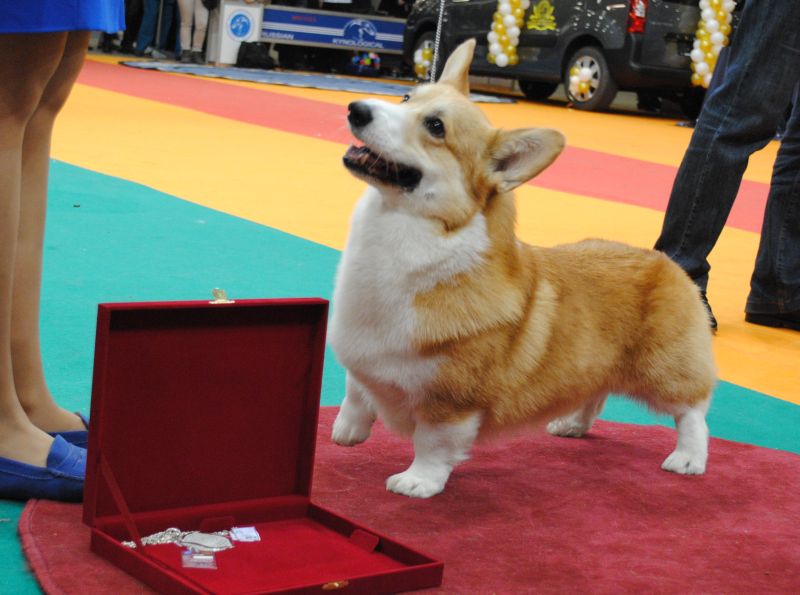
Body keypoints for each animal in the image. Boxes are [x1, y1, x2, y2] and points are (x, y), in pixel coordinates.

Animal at [329, 39, 716, 498]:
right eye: (406, 98)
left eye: (436, 127)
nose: (356, 109)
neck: (405, 232)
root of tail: (665, 260)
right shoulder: (364, 352)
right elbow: (356, 389)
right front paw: (348, 430)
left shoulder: (452, 400)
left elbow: (433, 443)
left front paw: (418, 482)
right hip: (596, 366)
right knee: (596, 392)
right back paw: (572, 424)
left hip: (662, 369)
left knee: (692, 410)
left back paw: (689, 457)